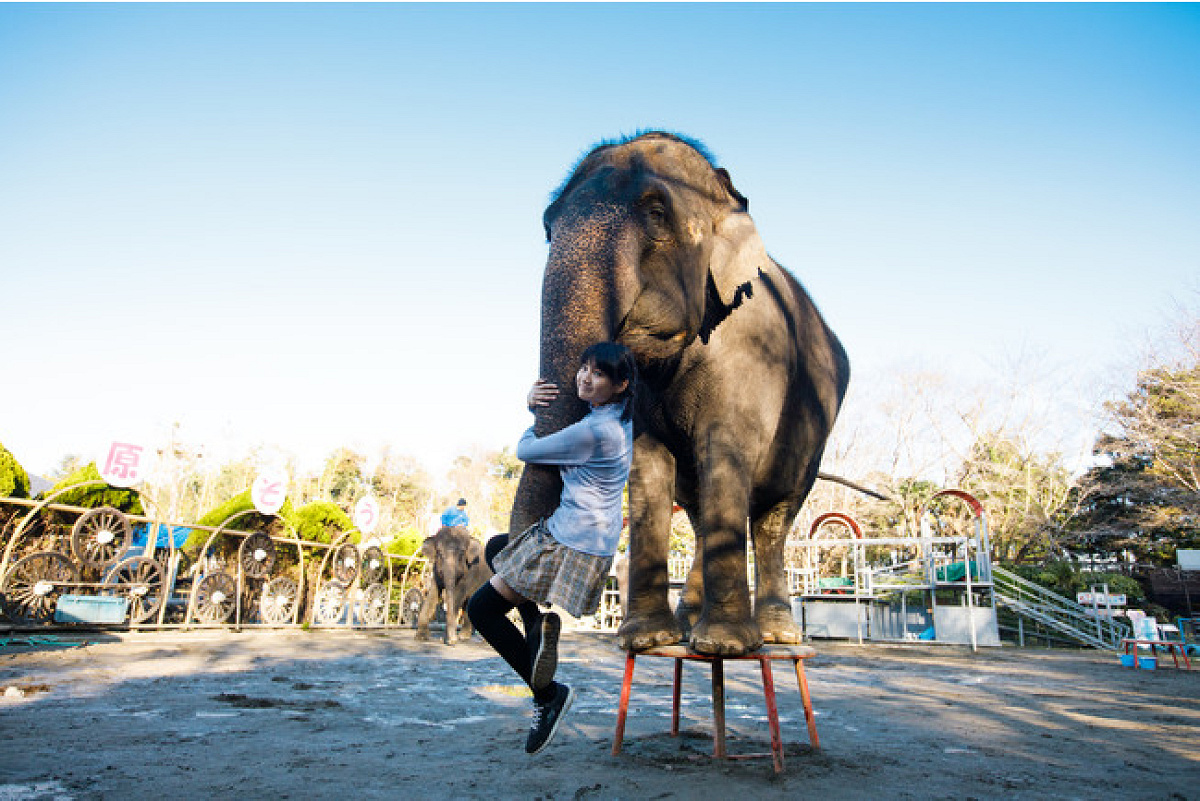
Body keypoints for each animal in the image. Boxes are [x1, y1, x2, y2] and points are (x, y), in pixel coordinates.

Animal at [511, 133, 849, 657]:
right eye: (548, 227)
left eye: (656, 213)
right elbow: (648, 464)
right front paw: (647, 640)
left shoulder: (752, 350)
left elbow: (724, 448)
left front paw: (727, 647)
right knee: (703, 511)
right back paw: (691, 626)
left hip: (814, 436)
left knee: (775, 515)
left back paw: (774, 635)